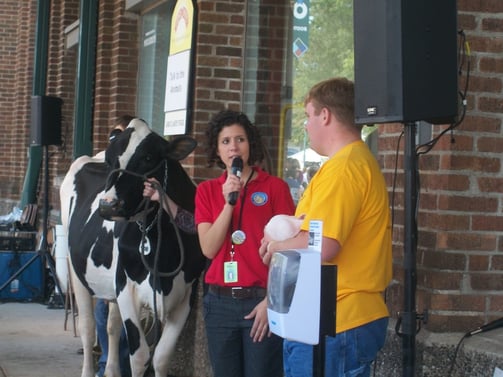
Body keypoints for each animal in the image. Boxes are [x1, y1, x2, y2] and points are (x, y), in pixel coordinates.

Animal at [60, 119, 207, 376]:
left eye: (148, 158)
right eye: (110, 160)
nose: (108, 205)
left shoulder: (186, 295)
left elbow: (161, 357)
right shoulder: (126, 288)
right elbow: (139, 357)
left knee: (111, 326)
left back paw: (111, 370)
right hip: (75, 269)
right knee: (88, 329)